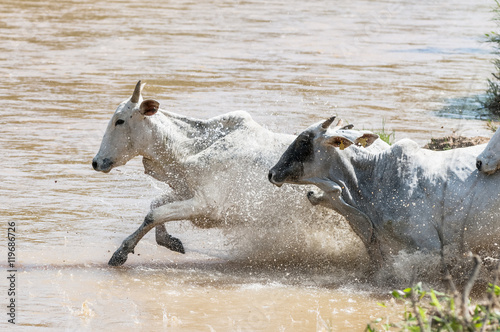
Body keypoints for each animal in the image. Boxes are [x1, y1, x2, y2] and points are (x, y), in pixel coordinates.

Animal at [93, 80, 378, 264]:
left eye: (120, 121)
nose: (96, 162)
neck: (190, 149)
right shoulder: (187, 193)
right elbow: (156, 206)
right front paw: (170, 242)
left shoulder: (207, 205)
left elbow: (154, 214)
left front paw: (120, 253)